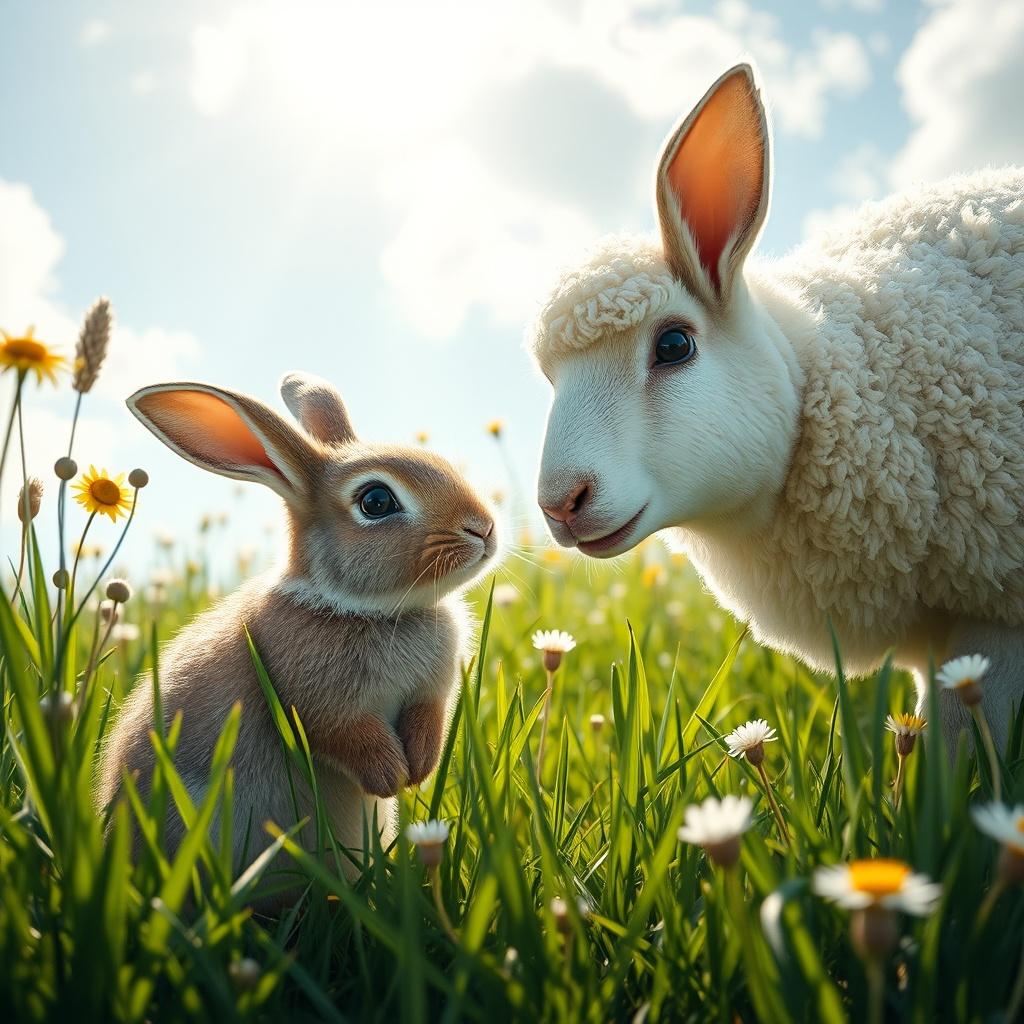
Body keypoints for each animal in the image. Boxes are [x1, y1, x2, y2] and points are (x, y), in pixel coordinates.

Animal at [98, 373, 498, 879]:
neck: (366, 609)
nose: (483, 528)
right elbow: (343, 735)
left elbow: (429, 719)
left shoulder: (431, 696)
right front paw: (391, 777)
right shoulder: (320, 704)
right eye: (376, 501)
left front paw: (419, 770)